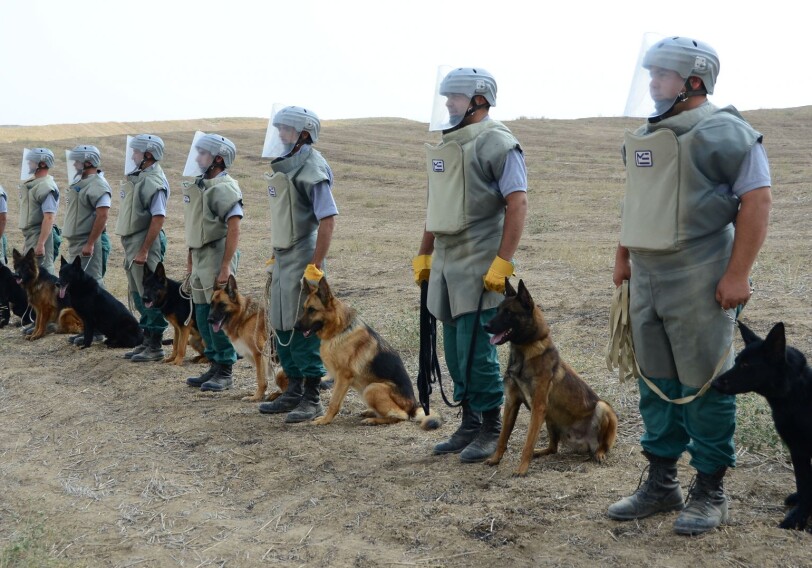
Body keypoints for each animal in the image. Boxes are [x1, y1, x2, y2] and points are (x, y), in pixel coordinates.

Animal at [294, 276, 440, 430]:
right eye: (303, 309)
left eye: (312, 310)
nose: (295, 327)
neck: (340, 330)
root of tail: (413, 406)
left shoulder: (343, 376)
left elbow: (334, 402)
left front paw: (325, 420)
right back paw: (370, 412)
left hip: (372, 388)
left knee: (401, 416)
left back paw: (373, 420)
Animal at [482, 278, 616, 474]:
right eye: (497, 310)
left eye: (508, 313)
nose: (485, 326)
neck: (525, 350)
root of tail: (583, 444)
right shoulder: (511, 403)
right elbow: (502, 437)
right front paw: (495, 459)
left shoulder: (538, 407)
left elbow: (528, 443)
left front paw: (522, 469)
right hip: (551, 418)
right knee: (553, 448)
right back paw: (540, 452)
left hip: (603, 407)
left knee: (603, 445)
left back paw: (599, 453)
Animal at [712, 322, 812, 532]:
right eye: (736, 361)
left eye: (746, 365)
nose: (714, 383)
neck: (797, 394)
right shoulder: (797, 450)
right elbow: (803, 483)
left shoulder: (799, 449)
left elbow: (806, 485)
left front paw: (797, 518)